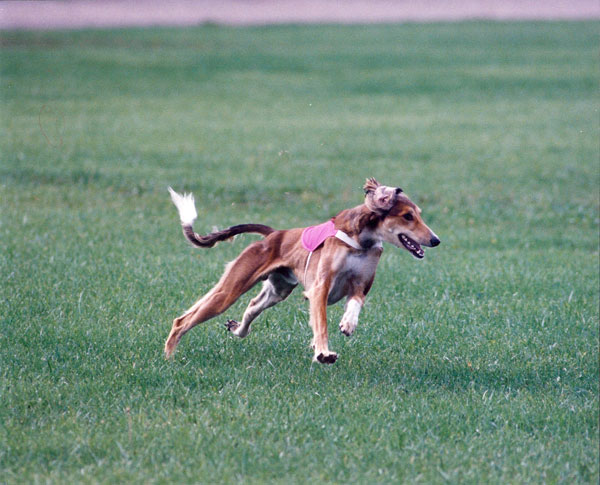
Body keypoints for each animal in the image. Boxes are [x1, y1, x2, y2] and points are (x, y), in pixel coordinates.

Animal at [164, 178, 440, 364]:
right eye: (407, 216)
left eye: (418, 214)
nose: (435, 240)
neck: (362, 240)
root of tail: (275, 234)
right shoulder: (320, 288)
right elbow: (321, 324)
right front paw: (323, 353)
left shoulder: (361, 284)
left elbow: (356, 303)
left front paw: (348, 324)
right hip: (231, 288)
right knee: (183, 320)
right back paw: (169, 358)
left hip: (277, 290)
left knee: (252, 307)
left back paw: (237, 328)